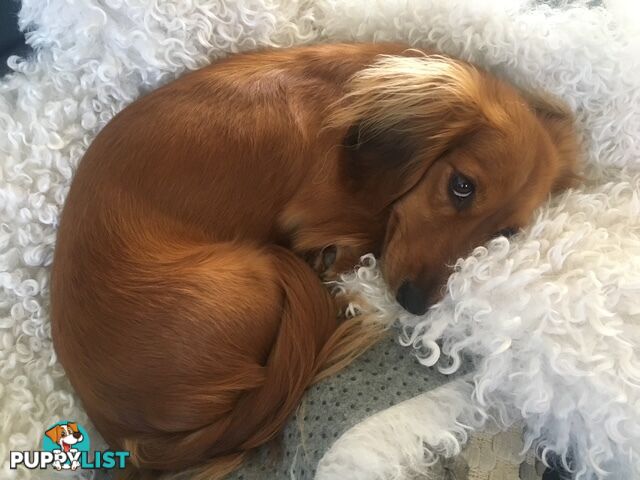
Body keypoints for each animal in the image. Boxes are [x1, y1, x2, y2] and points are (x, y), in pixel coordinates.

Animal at [51, 43, 580, 478]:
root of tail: (122, 431)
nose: (412, 303)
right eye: (461, 185)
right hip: (255, 273)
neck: (349, 102)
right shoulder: (321, 219)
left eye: (506, 233)